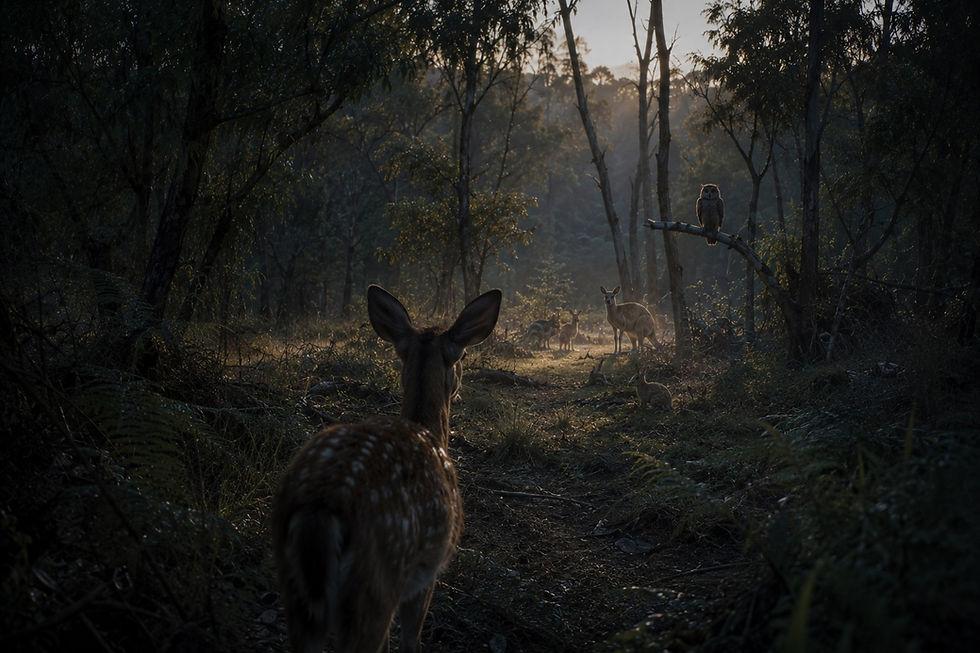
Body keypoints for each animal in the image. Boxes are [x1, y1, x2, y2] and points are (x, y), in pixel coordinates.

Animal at [272, 284, 501, 653]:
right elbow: (410, 640)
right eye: (463, 357)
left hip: (293, 587)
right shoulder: (428, 572)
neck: (428, 430)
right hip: (377, 582)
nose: (459, 389)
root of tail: (320, 505)